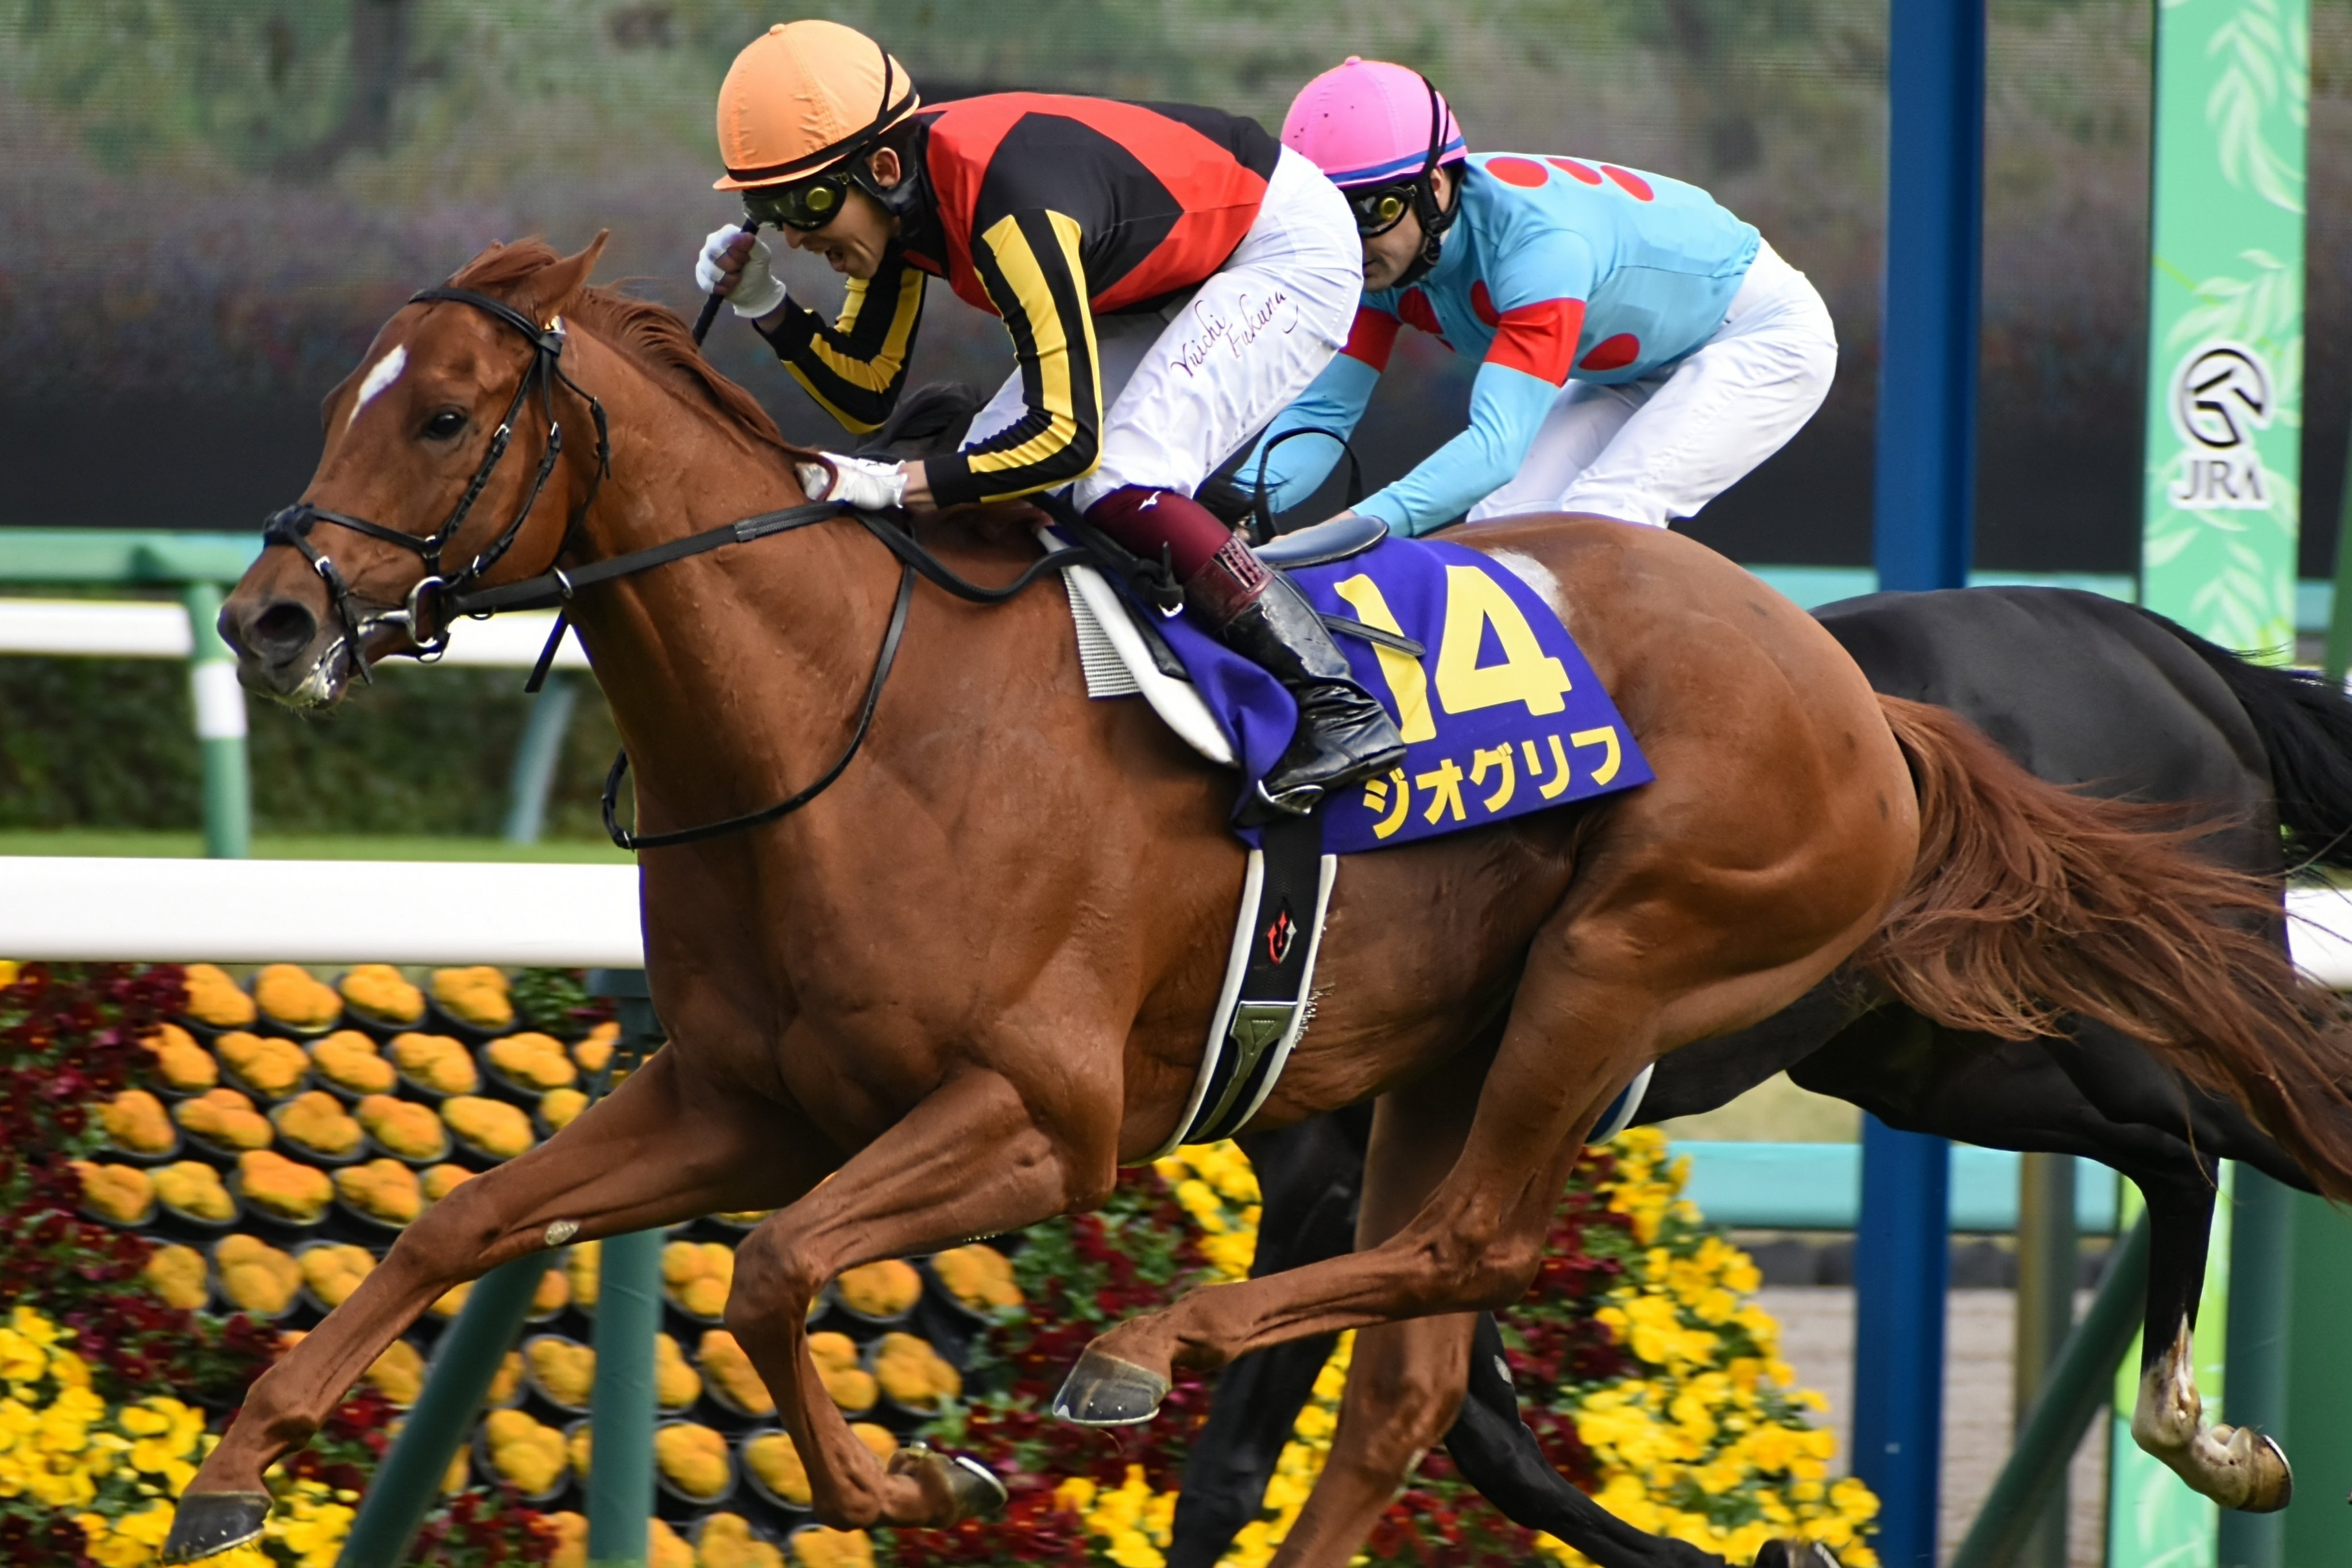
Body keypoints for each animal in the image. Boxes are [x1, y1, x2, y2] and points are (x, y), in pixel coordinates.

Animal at [1165, 590, 2352, 1568]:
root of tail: (2165, 648)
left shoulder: (1331, 1175)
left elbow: (1233, 1472)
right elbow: (1489, 1435)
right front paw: (1763, 1552)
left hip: (2157, 998)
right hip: (1950, 1061)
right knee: (2175, 1153)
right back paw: (2203, 1436)